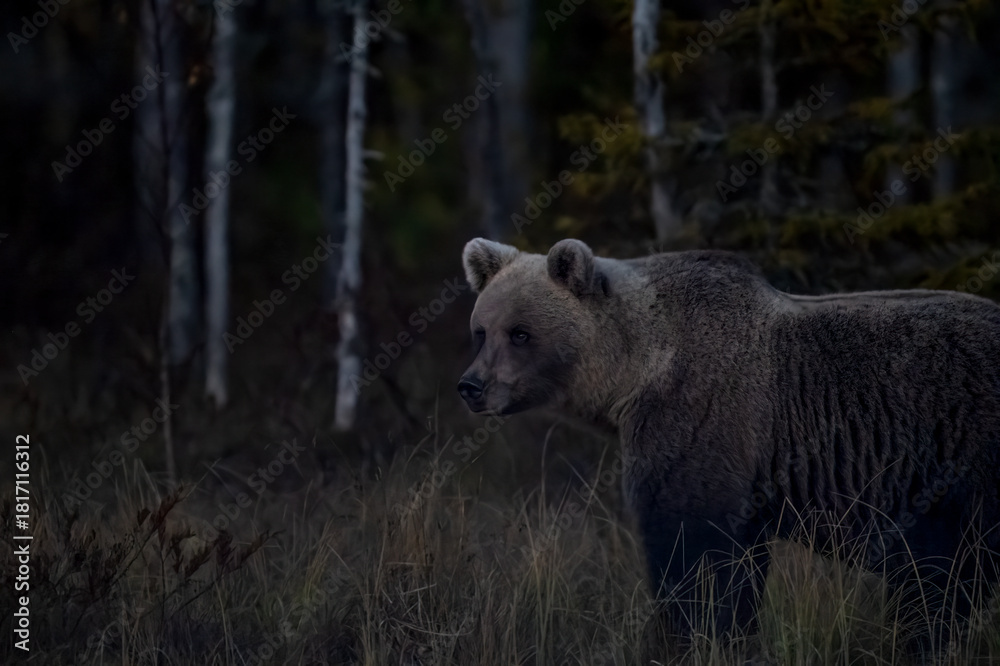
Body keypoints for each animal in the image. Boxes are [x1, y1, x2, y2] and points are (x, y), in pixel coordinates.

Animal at [457, 237, 1000, 640]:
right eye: (481, 330)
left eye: (520, 332)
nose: (471, 386)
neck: (635, 371)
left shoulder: (702, 420)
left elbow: (694, 552)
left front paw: (700, 632)